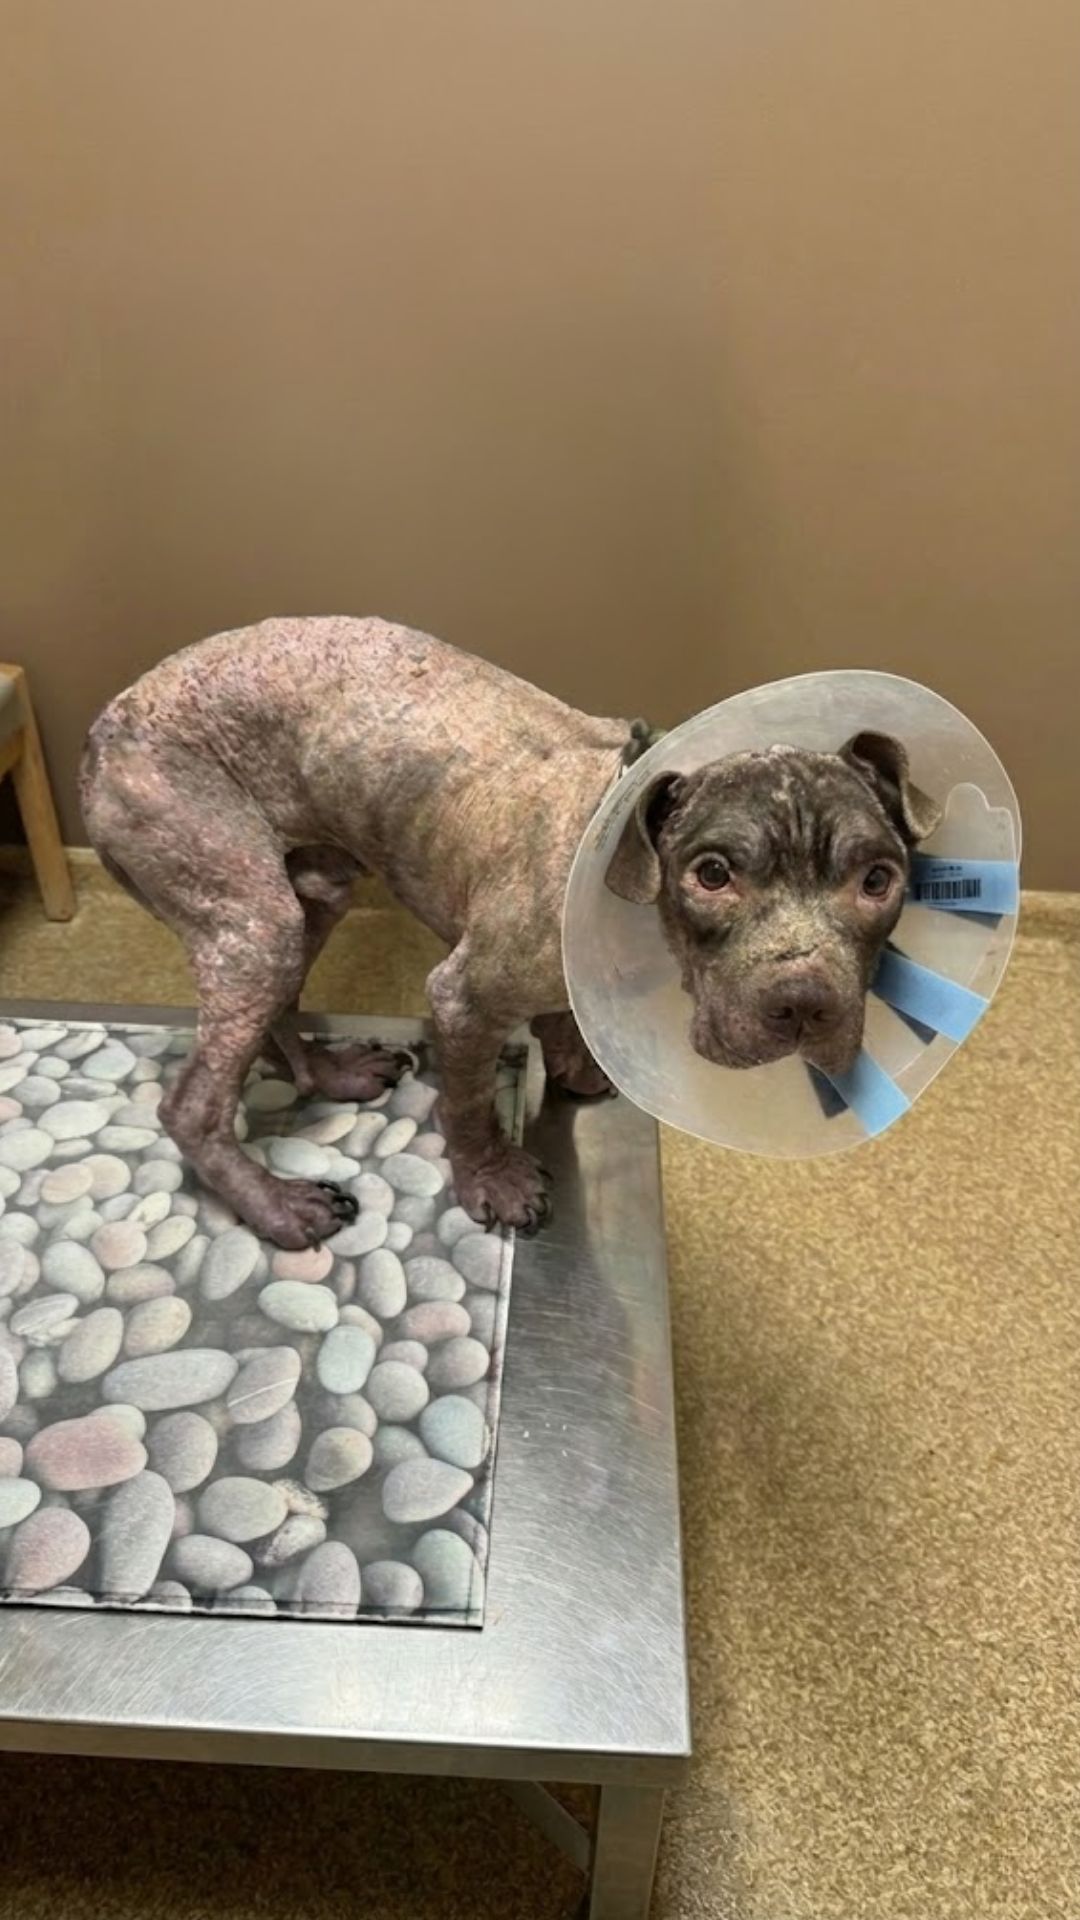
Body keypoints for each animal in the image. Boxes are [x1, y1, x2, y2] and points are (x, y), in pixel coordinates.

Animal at [81, 617, 941, 1247]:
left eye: (878, 881)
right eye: (713, 874)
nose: (804, 1003)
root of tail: (103, 727)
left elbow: (562, 1017)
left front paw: (574, 1062)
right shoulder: (460, 1000)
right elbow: (466, 1106)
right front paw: (491, 1178)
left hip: (307, 899)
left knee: (276, 1013)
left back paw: (329, 1074)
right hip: (251, 919)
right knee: (191, 1106)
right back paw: (275, 1206)